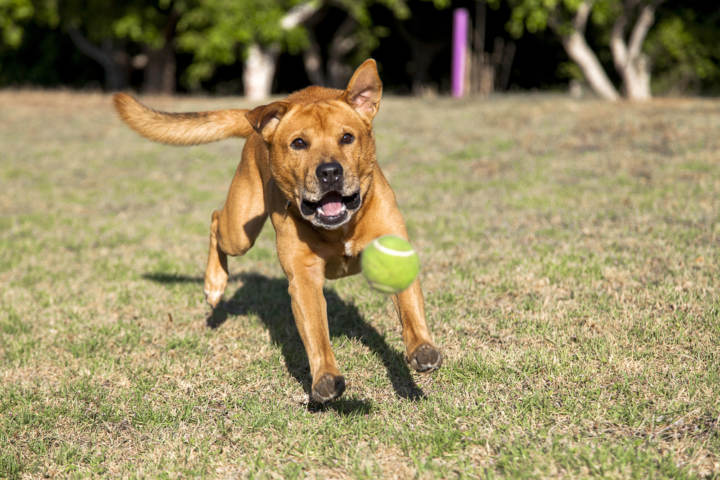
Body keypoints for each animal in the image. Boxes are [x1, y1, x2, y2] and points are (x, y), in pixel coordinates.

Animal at [114, 59, 438, 402]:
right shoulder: (304, 279)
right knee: (216, 219)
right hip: (240, 229)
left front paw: (422, 350)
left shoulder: (394, 251)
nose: (330, 172)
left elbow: (410, 311)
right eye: (299, 143)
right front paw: (325, 378)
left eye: (347, 138)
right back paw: (214, 284)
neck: (339, 229)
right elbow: (317, 334)